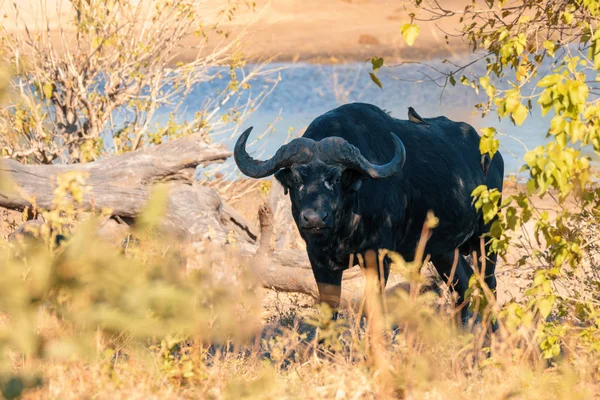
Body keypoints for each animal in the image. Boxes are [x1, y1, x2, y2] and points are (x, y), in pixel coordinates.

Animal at [232, 103, 504, 322]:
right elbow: (329, 310)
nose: (314, 218)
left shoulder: (378, 258)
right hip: (445, 251)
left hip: (486, 240)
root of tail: (493, 156)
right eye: (297, 178)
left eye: (335, 177)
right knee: (463, 287)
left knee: (489, 285)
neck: (344, 227)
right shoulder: (318, 260)